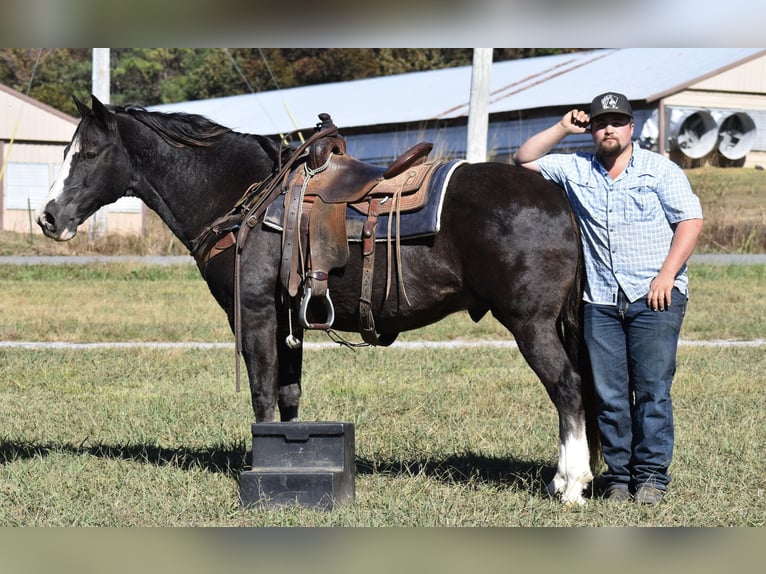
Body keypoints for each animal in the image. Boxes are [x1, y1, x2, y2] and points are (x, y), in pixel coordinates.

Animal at [35, 95, 598, 504]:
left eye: (87, 153)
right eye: (63, 152)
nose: (47, 217)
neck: (240, 195)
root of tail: (557, 196)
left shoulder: (256, 314)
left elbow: (262, 394)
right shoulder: (292, 319)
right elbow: (289, 394)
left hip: (531, 324)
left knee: (568, 388)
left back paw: (570, 484)